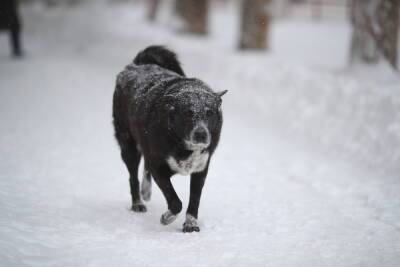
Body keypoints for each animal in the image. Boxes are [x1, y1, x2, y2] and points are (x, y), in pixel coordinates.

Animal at [112, 45, 227, 232]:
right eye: (188, 113)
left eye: (209, 112)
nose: (201, 134)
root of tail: (137, 64)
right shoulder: (159, 167)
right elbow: (175, 202)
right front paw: (167, 218)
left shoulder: (201, 169)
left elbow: (194, 201)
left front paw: (191, 224)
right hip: (128, 145)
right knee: (133, 176)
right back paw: (138, 203)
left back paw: (146, 192)